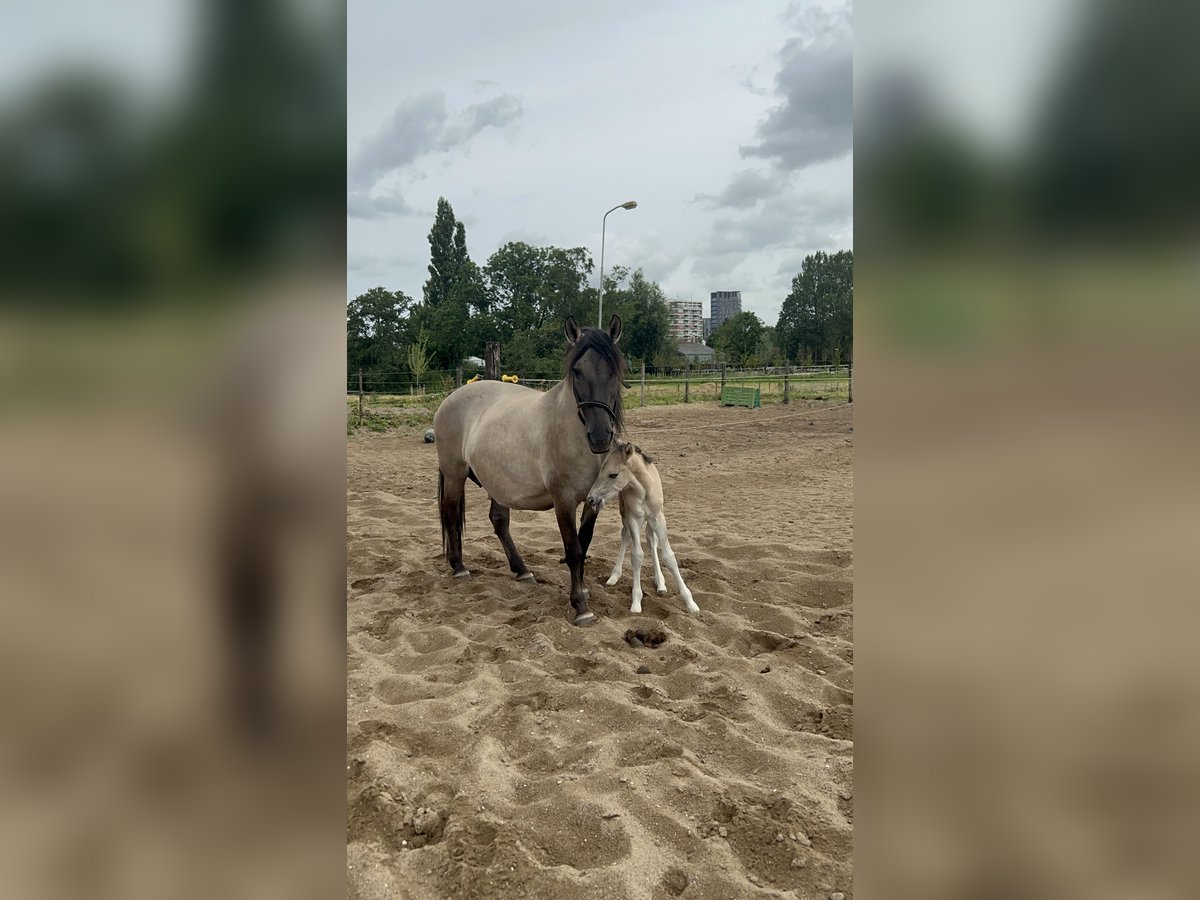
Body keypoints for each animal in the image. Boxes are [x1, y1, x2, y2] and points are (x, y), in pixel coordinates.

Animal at [432, 316, 628, 628]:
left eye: (615, 370)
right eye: (577, 371)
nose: (599, 436)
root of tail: (452, 398)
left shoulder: (593, 501)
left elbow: (584, 543)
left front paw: (583, 589)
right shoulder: (563, 500)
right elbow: (573, 550)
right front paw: (580, 606)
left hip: (498, 482)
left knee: (499, 521)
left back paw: (522, 570)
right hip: (454, 474)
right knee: (450, 514)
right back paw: (459, 566)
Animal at [585, 439, 700, 619]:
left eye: (613, 474)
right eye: (600, 470)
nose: (591, 499)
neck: (644, 490)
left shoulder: (658, 518)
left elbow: (669, 556)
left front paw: (690, 603)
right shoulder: (633, 519)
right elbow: (637, 556)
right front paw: (636, 602)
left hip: (651, 522)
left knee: (651, 541)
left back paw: (660, 583)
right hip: (625, 515)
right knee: (625, 536)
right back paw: (614, 576)